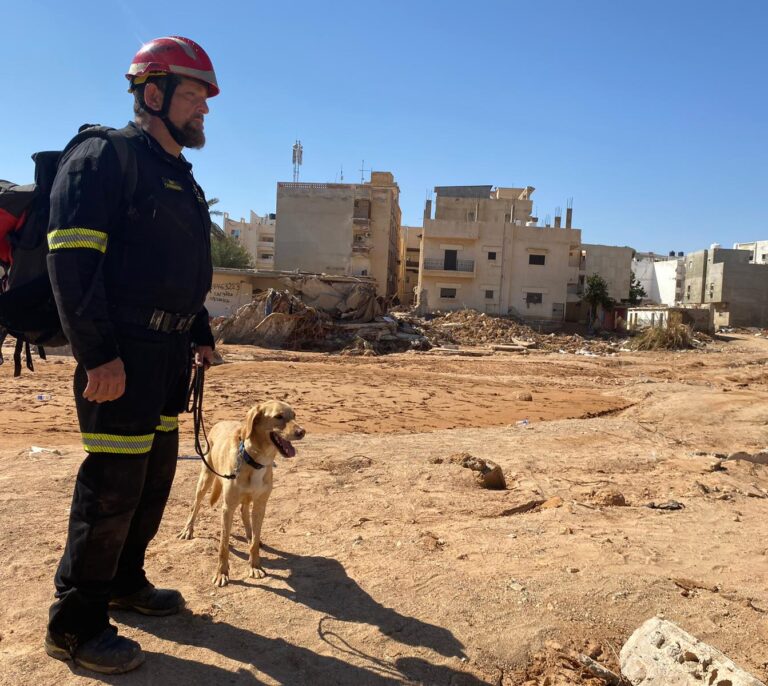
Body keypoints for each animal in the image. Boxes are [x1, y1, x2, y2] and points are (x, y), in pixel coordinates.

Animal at [178, 400, 304, 588]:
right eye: (278, 417)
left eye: (294, 415)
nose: (302, 432)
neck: (255, 460)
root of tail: (221, 422)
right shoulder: (227, 508)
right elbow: (223, 545)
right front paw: (221, 573)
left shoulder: (260, 505)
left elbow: (254, 544)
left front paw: (254, 566)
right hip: (205, 480)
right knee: (195, 506)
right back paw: (188, 530)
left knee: (245, 513)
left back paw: (250, 535)